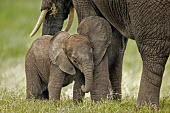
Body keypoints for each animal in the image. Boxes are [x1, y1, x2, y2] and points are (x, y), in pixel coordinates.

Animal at [30, 0, 170, 106]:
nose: (44, 98)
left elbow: (91, 20)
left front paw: (99, 102)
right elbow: (116, 44)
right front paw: (113, 102)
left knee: (153, 48)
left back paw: (145, 106)